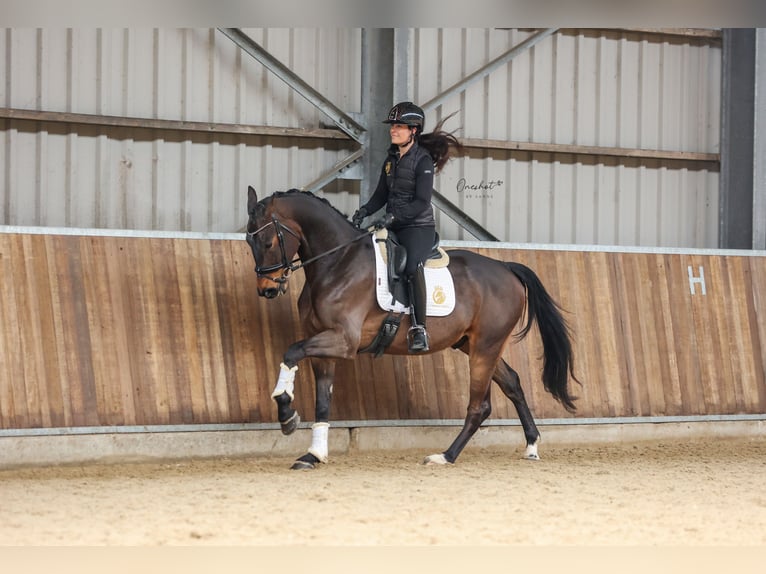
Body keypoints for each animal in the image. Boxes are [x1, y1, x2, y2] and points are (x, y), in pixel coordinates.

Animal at [246, 187, 584, 470]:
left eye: (268, 242)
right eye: (249, 243)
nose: (267, 290)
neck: (338, 262)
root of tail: (506, 268)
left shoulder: (343, 341)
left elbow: (291, 352)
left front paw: (286, 414)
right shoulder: (323, 344)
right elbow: (322, 401)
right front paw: (313, 454)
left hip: (485, 347)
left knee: (480, 406)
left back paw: (445, 456)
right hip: (474, 344)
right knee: (512, 382)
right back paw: (531, 446)